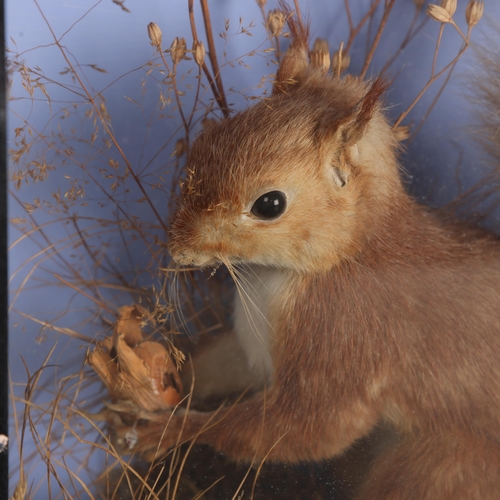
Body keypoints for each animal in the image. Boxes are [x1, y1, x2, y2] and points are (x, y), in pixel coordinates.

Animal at [115, 11, 500, 500]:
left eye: (270, 204)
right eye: (207, 140)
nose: (178, 248)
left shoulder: (344, 339)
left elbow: (312, 426)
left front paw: (169, 430)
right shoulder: (255, 345)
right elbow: (221, 364)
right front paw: (156, 379)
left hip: (435, 472)